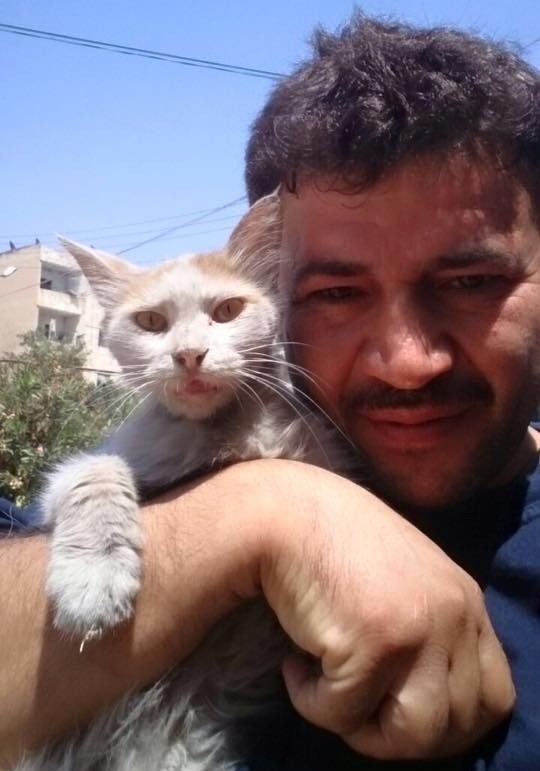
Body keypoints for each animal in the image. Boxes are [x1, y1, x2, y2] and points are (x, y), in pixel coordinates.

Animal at [14, 195, 352, 771]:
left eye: (228, 311)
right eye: (151, 321)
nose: (189, 355)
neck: (210, 434)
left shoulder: (318, 453)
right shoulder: (84, 471)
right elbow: (91, 473)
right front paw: (93, 578)